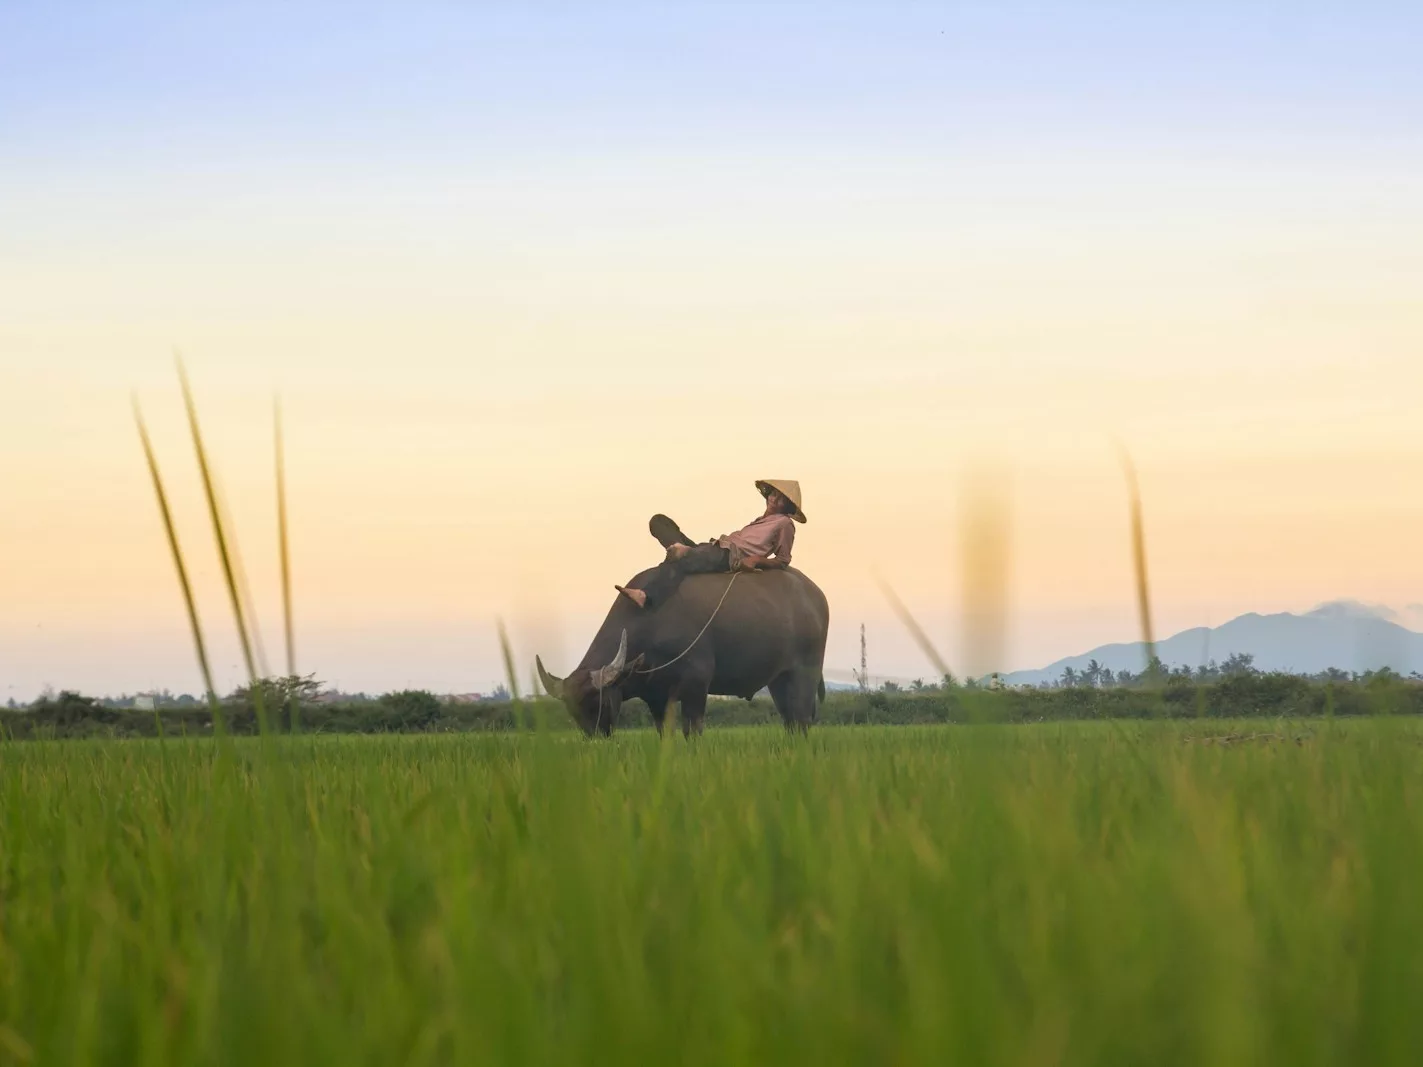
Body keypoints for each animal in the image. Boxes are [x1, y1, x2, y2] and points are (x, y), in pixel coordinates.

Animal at [536, 566, 829, 736]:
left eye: (599, 702)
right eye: (573, 710)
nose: (597, 738)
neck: (651, 622)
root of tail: (815, 594)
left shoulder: (696, 685)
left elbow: (692, 730)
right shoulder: (655, 698)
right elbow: (665, 733)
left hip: (805, 673)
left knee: (802, 718)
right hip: (779, 680)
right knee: (790, 721)